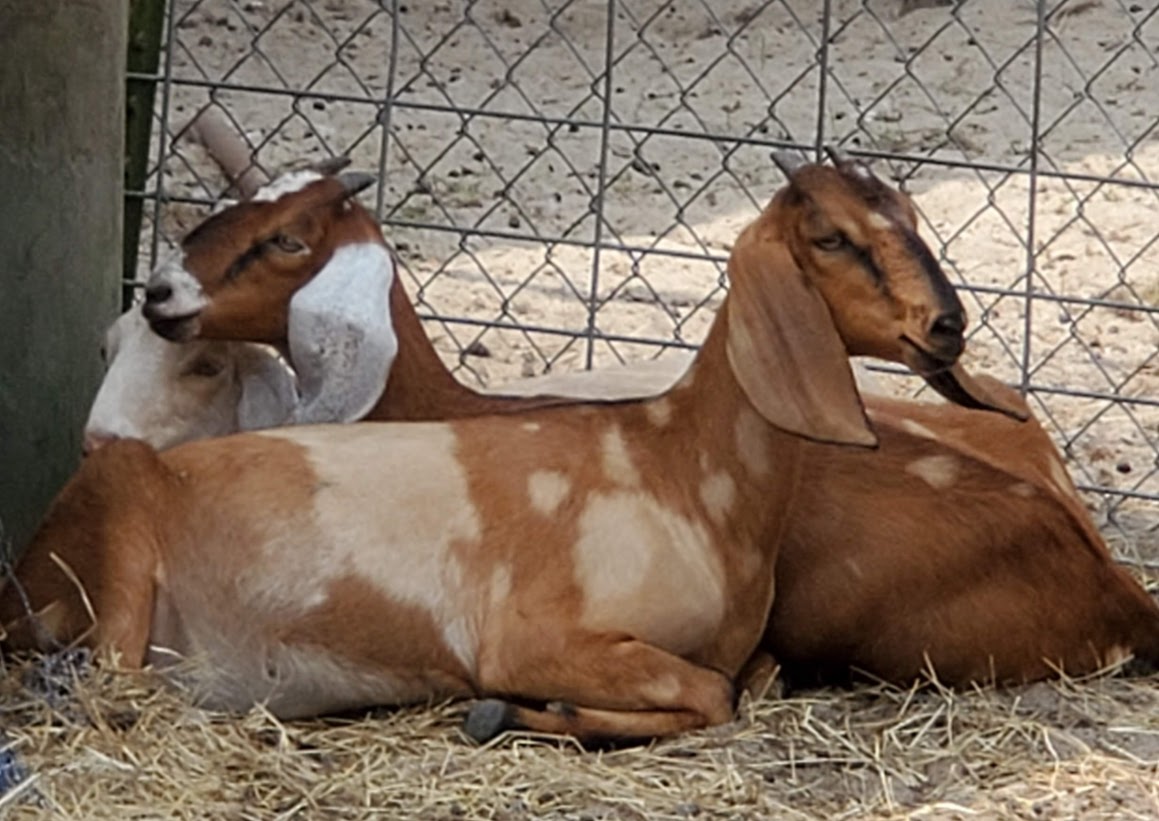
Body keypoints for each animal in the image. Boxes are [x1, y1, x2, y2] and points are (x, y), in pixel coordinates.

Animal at [1, 157, 1002, 743]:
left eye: (911, 216)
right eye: (831, 236)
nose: (945, 328)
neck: (679, 468)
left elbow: (740, 679)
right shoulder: (532, 634)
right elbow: (711, 694)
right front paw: (514, 709)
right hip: (120, 561)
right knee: (106, 681)